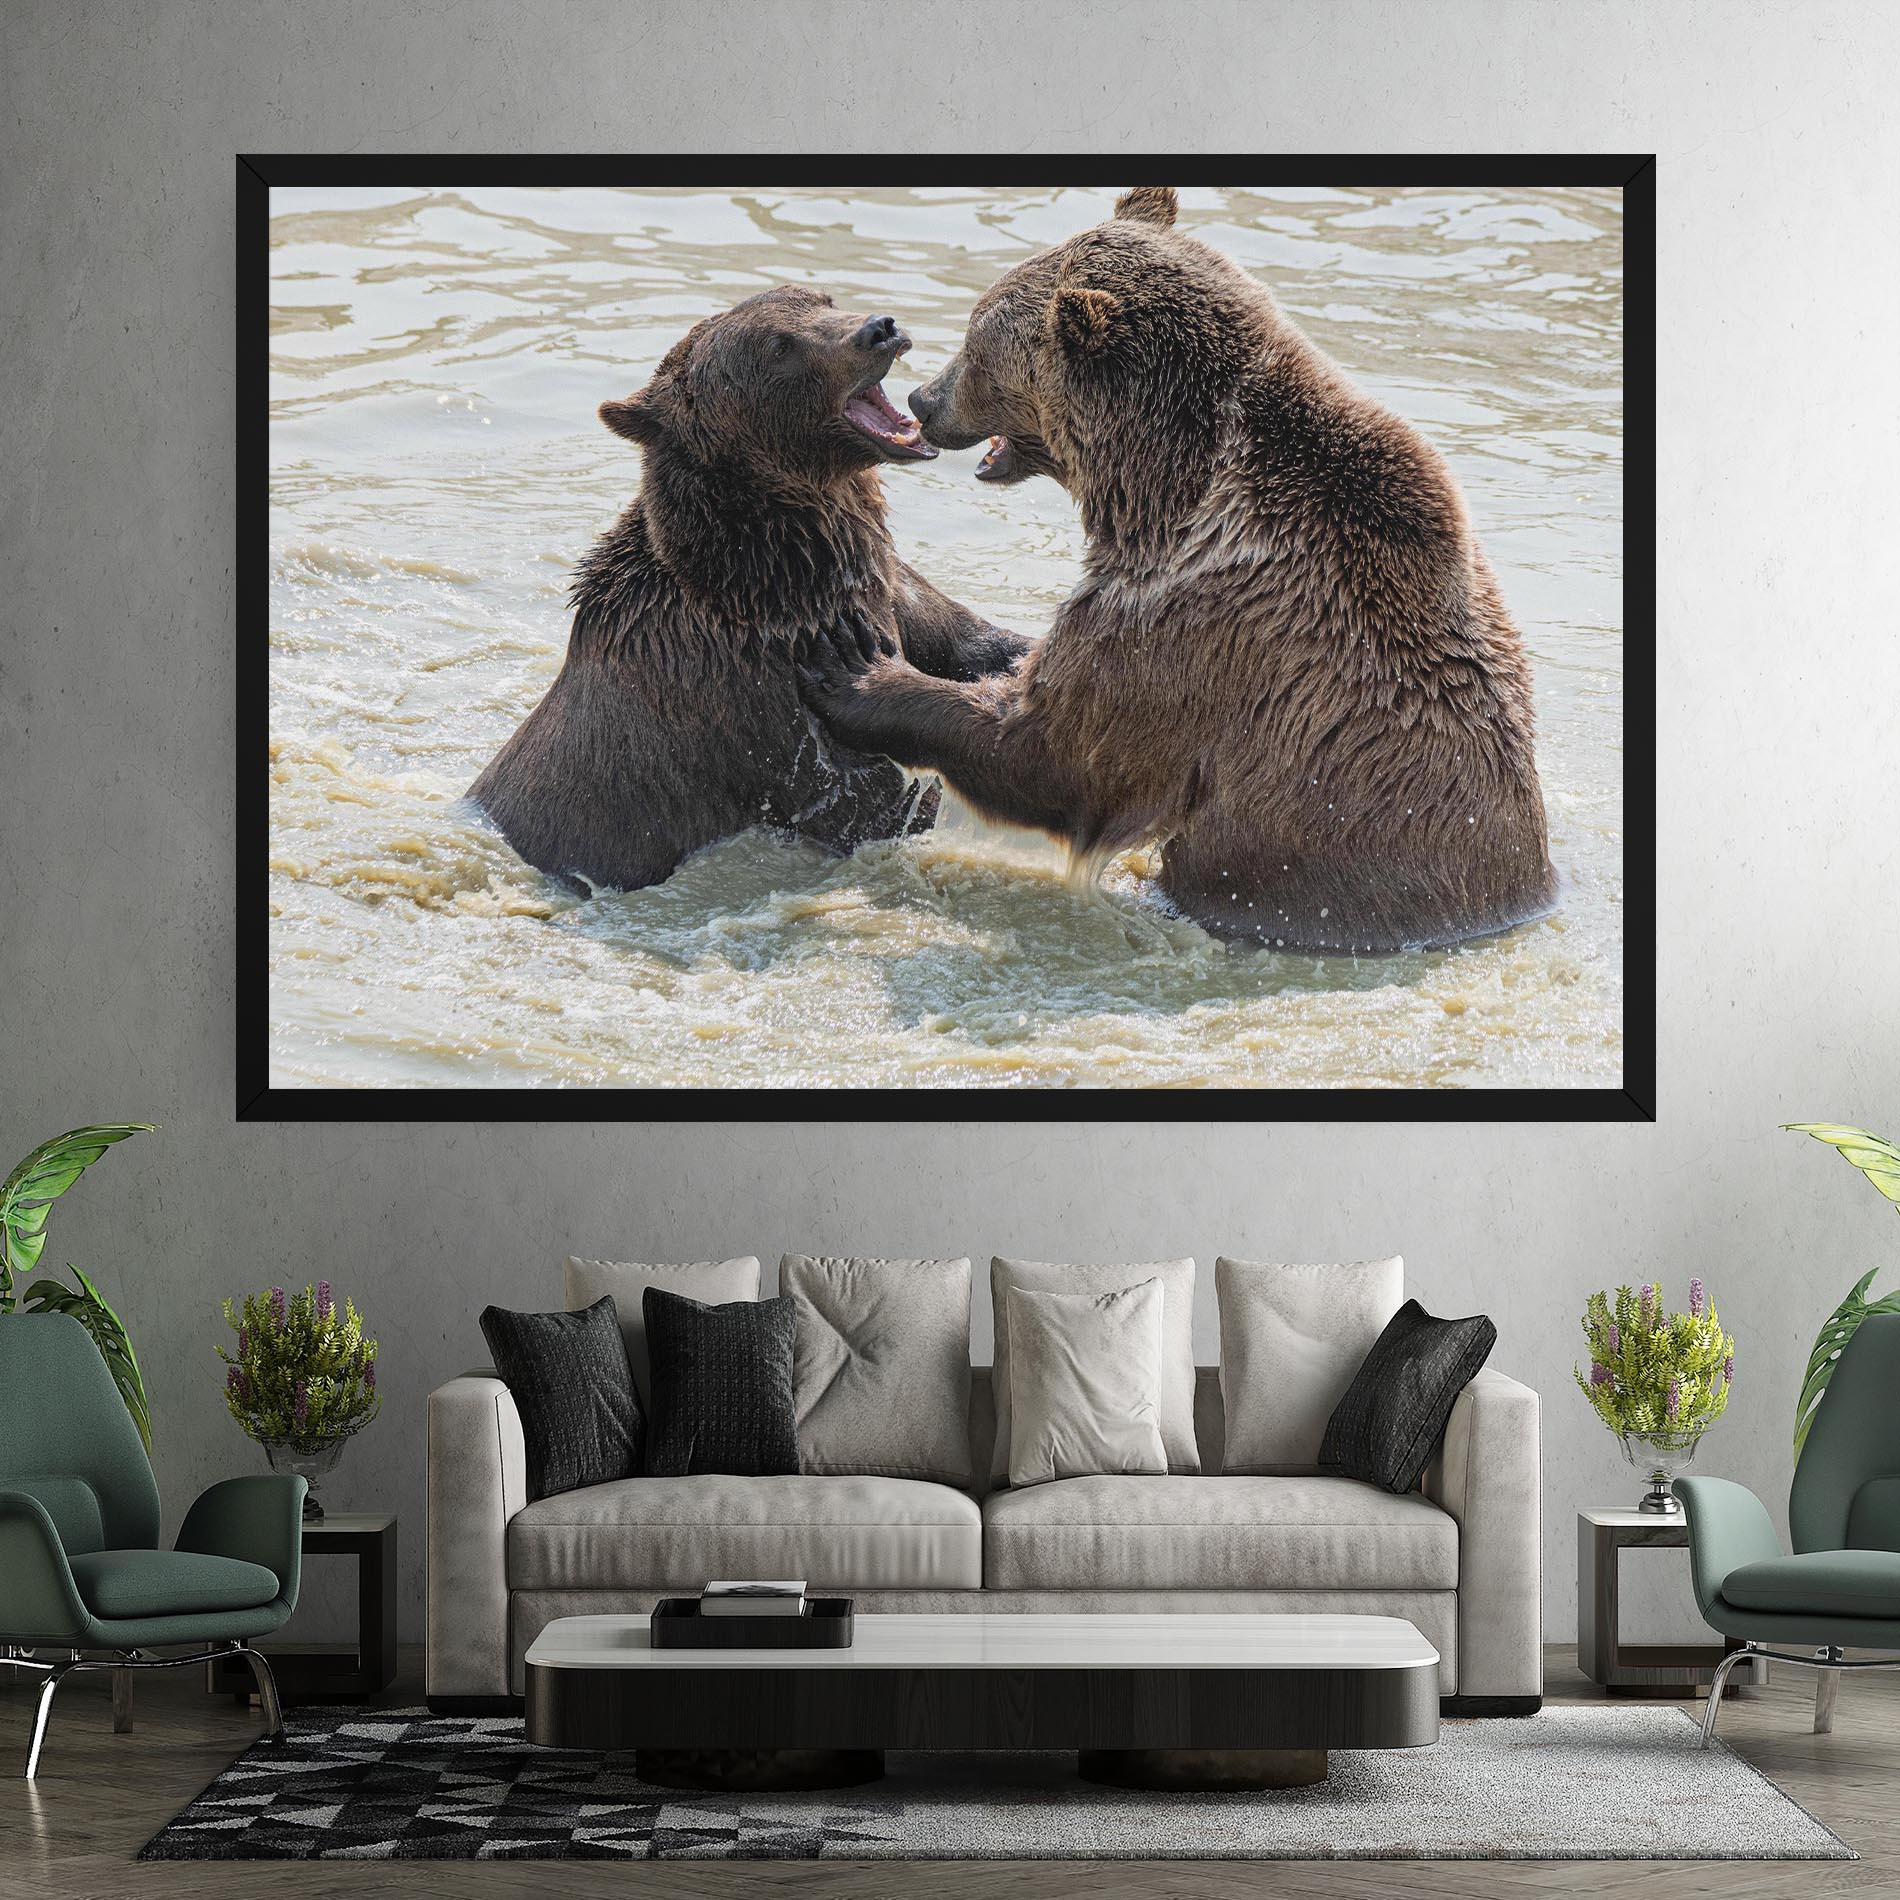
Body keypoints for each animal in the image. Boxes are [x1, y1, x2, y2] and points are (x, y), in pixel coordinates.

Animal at [468, 286, 1029, 894]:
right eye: (779, 347)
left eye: (821, 299)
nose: (880, 329)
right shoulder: (757, 698)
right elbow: (869, 798)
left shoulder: (889, 587)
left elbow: (974, 643)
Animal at [798, 187, 1557, 955]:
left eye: (978, 344)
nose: (924, 399)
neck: (1161, 491)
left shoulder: (1191, 621)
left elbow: (1056, 751)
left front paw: (858, 671)